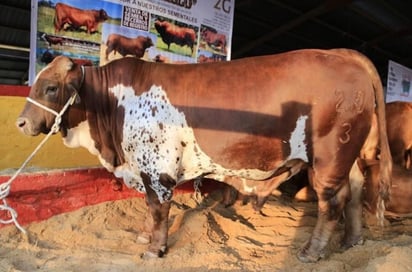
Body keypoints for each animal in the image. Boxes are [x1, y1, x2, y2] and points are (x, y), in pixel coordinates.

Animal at [16, 48, 392, 262]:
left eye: (51, 88)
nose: (21, 122)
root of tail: (342, 54)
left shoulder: (156, 169)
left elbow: (158, 210)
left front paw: (154, 249)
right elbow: (149, 210)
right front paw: (143, 235)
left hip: (330, 157)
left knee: (333, 202)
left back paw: (311, 252)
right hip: (351, 156)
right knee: (355, 192)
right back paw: (352, 241)